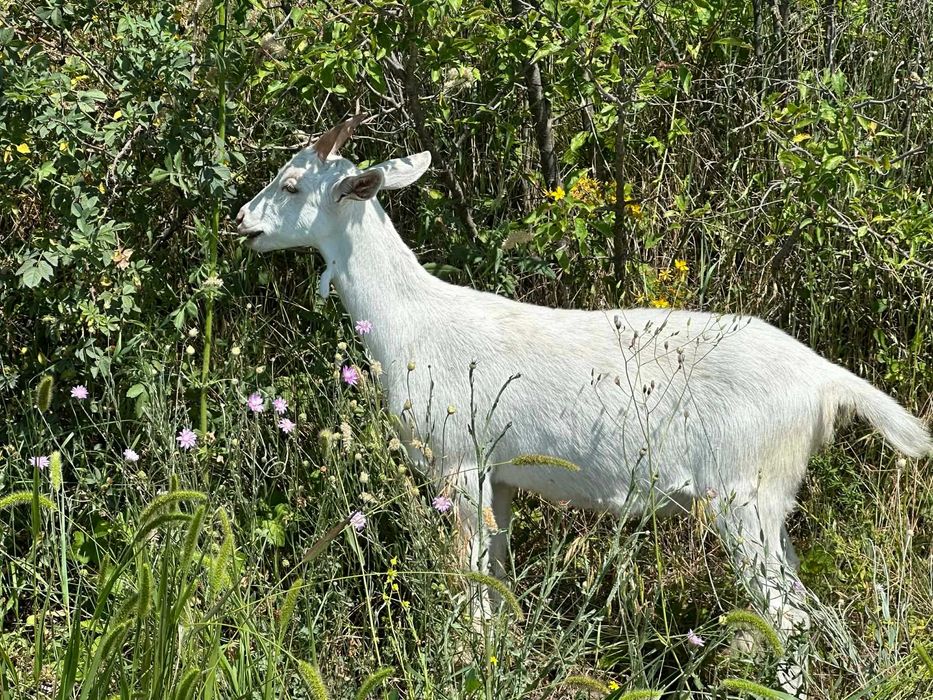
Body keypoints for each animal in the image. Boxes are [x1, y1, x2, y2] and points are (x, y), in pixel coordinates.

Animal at [236, 117, 932, 695]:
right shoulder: (500, 475)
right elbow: (497, 581)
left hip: (742, 495)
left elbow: (470, 585)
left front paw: (466, 662)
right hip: (768, 501)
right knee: (807, 604)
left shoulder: (460, 462)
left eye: (293, 184)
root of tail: (823, 380)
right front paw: (499, 655)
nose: (243, 222)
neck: (414, 322)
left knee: (787, 616)